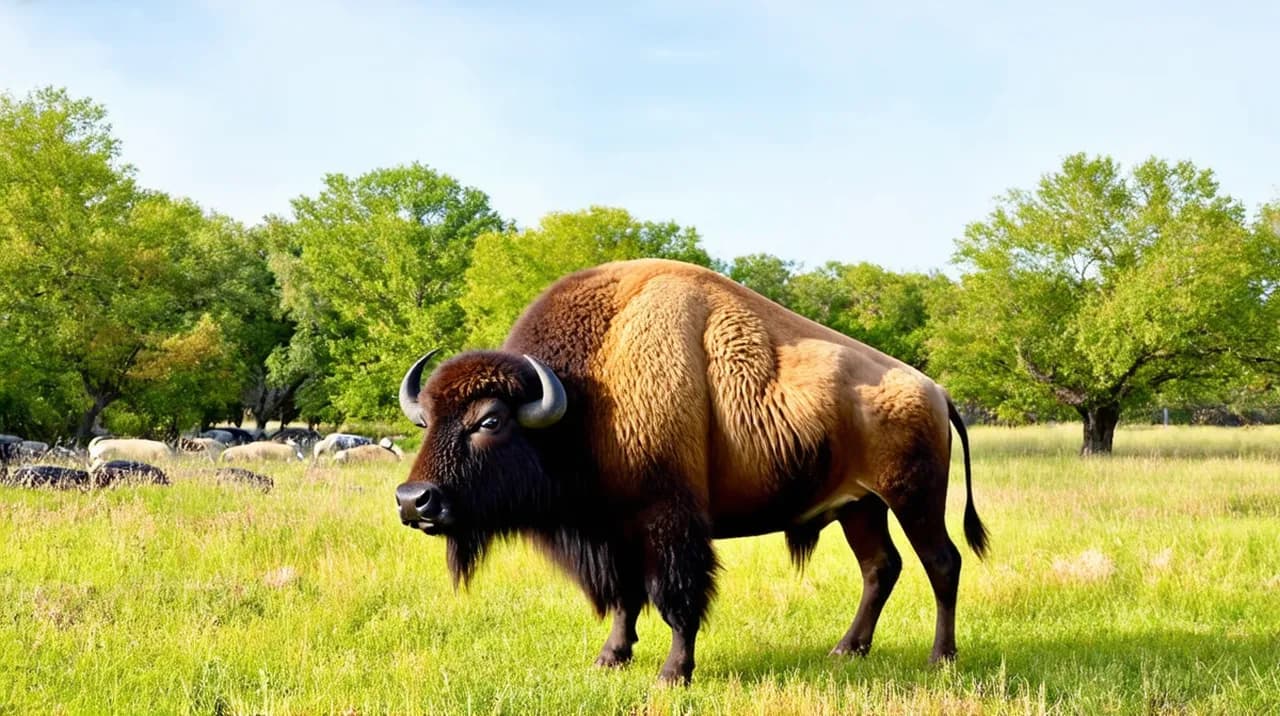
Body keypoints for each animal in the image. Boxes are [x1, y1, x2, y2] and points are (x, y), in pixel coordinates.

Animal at [394, 259, 989, 684]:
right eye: (426, 419)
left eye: (490, 421)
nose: (413, 499)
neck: (585, 399)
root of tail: (936, 391)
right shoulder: (615, 534)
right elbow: (626, 599)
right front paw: (610, 658)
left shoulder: (668, 525)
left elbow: (677, 600)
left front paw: (672, 673)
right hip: (859, 508)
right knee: (880, 568)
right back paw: (847, 649)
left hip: (913, 500)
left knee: (942, 563)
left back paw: (941, 658)